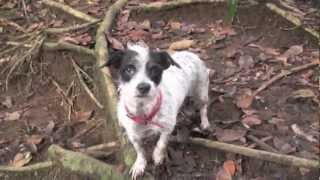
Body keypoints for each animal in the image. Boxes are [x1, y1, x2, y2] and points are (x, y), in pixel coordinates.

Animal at [104, 43, 210, 179]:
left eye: (154, 69)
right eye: (129, 69)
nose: (144, 87)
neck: (143, 111)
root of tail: (189, 53)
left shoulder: (168, 127)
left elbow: (161, 143)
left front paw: (158, 156)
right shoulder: (133, 135)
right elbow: (140, 150)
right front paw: (139, 164)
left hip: (201, 91)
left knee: (203, 107)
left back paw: (205, 122)